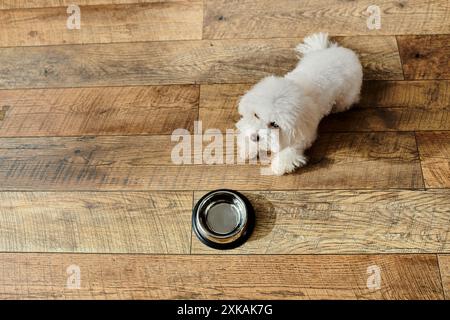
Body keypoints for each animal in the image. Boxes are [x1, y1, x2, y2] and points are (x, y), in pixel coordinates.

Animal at [237, 32, 364, 176]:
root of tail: (344, 52)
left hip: (347, 95)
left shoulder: (303, 134)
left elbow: (290, 150)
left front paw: (279, 164)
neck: (298, 87)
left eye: (274, 124)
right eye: (256, 115)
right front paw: (248, 147)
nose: (254, 137)